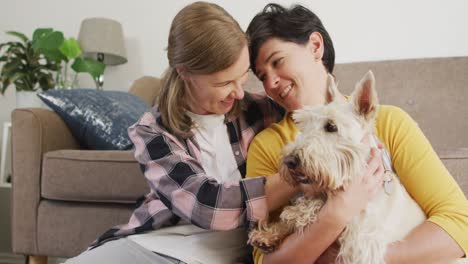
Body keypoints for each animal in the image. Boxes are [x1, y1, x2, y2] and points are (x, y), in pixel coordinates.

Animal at [249, 71, 464, 262]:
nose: (290, 161)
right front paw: (272, 232)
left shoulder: (361, 244)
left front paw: (296, 215)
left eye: (331, 126)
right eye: (304, 125)